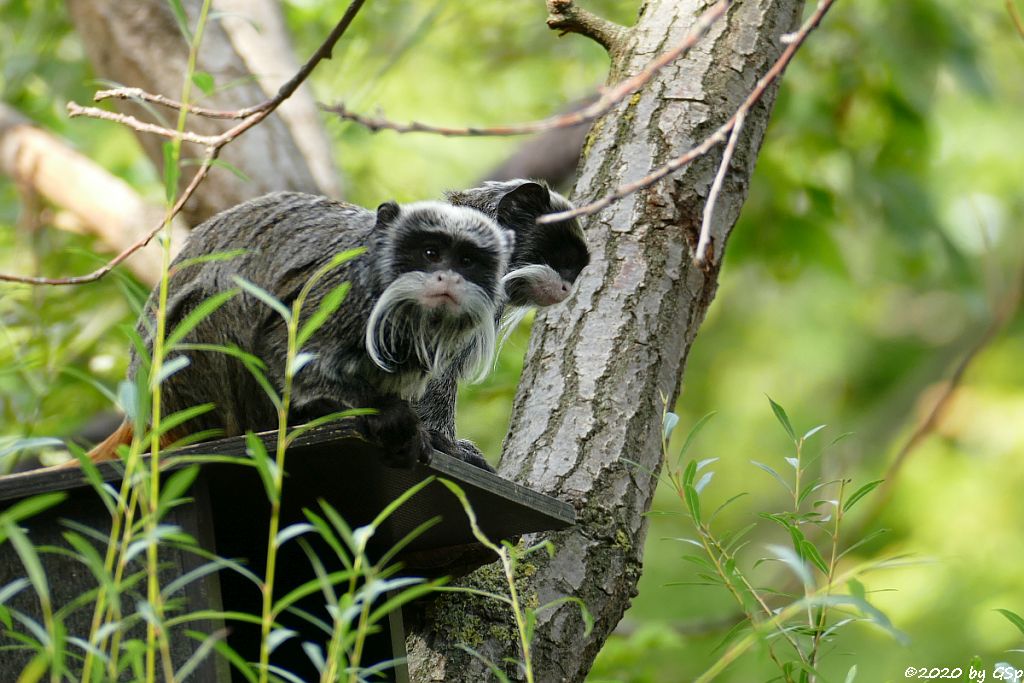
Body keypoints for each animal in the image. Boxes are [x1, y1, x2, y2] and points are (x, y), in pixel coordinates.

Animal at [87, 192, 516, 471]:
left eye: (467, 261)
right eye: (430, 253)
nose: (448, 278)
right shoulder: (344, 287)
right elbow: (284, 349)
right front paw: (390, 417)